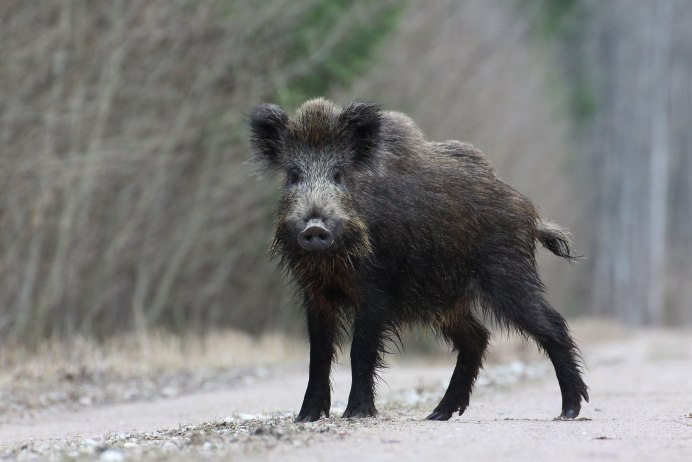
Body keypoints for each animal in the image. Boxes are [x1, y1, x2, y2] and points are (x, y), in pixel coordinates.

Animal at [249, 98, 588, 422]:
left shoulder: (376, 289)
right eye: (293, 175)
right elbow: (317, 356)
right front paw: (305, 418)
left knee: (551, 325)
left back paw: (569, 410)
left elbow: (360, 350)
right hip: (447, 298)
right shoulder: (315, 292)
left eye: (338, 174)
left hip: (507, 274)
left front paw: (355, 413)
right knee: (476, 337)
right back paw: (438, 414)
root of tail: (528, 212)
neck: (333, 261)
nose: (315, 227)